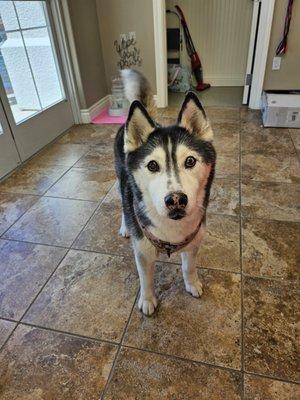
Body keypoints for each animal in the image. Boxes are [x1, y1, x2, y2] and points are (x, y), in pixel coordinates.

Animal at [113, 70, 216, 318]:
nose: (176, 199)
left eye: (190, 161)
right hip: (121, 181)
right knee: (123, 202)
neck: (173, 231)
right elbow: (146, 278)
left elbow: (189, 266)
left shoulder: (195, 240)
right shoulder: (142, 250)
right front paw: (147, 299)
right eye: (152, 165)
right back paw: (125, 226)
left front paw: (191, 283)